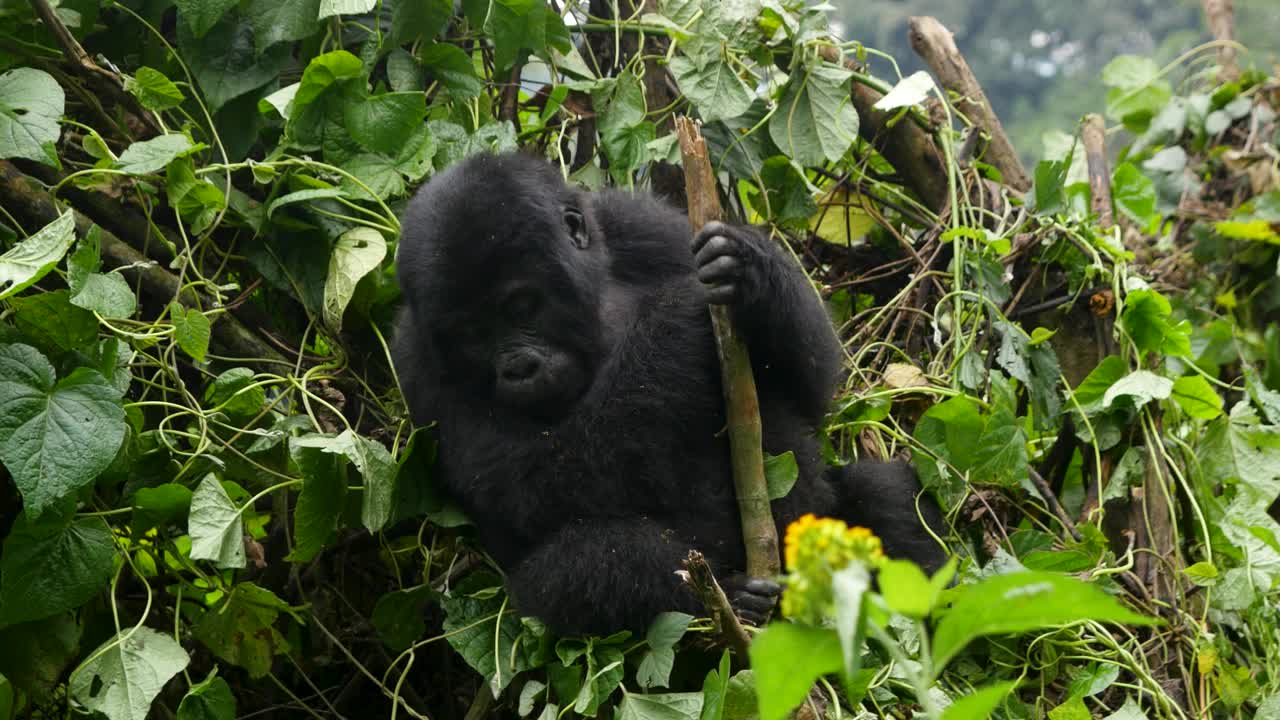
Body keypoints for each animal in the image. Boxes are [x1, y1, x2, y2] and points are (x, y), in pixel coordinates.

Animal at [394, 152, 947, 632]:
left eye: (522, 305)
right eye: (469, 334)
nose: (517, 368)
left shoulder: (645, 225)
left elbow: (809, 389)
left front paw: (749, 270)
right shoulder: (417, 364)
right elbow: (533, 485)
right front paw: (682, 314)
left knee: (883, 490)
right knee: (579, 568)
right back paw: (733, 601)